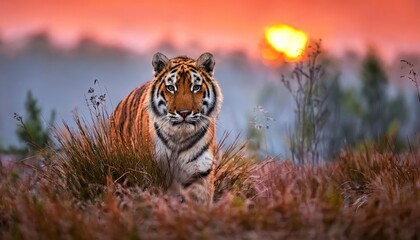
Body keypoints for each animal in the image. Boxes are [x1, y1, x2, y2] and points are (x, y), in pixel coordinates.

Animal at [111, 52, 223, 204]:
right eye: (171, 88)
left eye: (196, 87)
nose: (184, 113)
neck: (179, 137)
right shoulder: (153, 170)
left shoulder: (200, 172)